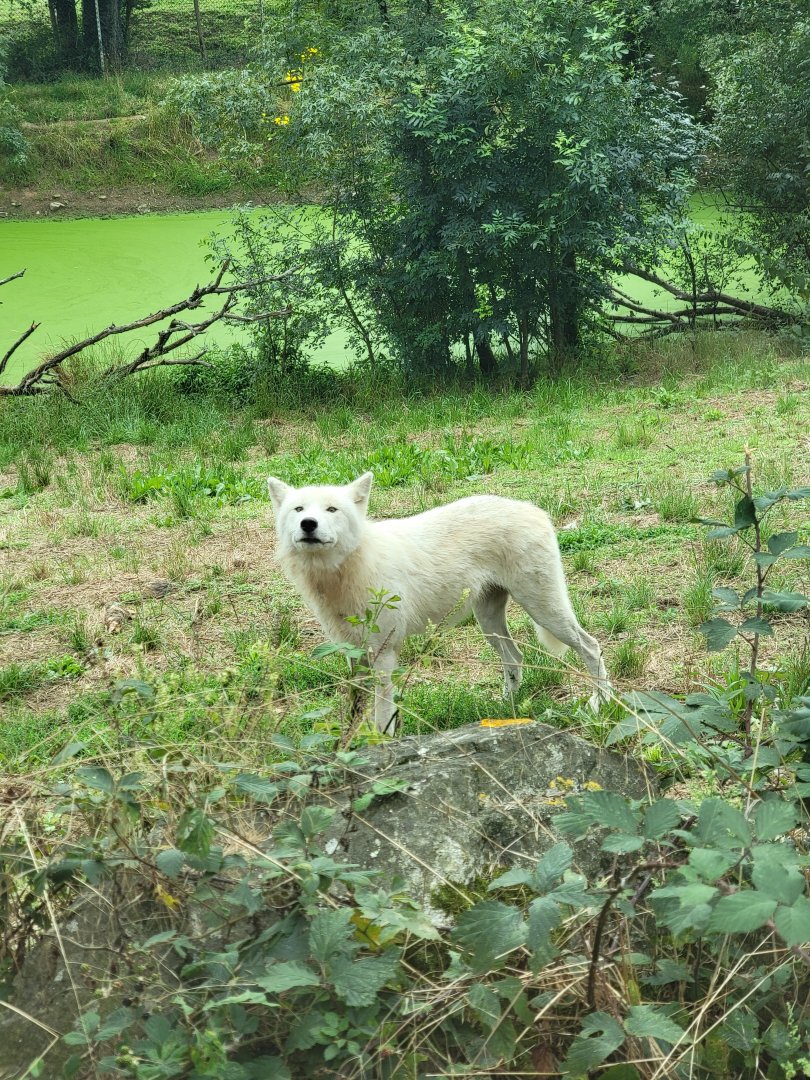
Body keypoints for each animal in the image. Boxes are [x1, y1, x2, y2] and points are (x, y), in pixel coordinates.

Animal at [267, 472, 610, 734]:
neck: (344, 570)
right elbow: (355, 712)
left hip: (543, 610)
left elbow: (382, 715)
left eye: (332, 509)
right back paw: (504, 711)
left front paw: (382, 746)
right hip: (490, 623)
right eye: (298, 509)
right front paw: (351, 748)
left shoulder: (384, 656)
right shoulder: (354, 657)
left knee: (591, 646)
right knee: (515, 658)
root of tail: (534, 510)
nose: (308, 524)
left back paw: (601, 703)